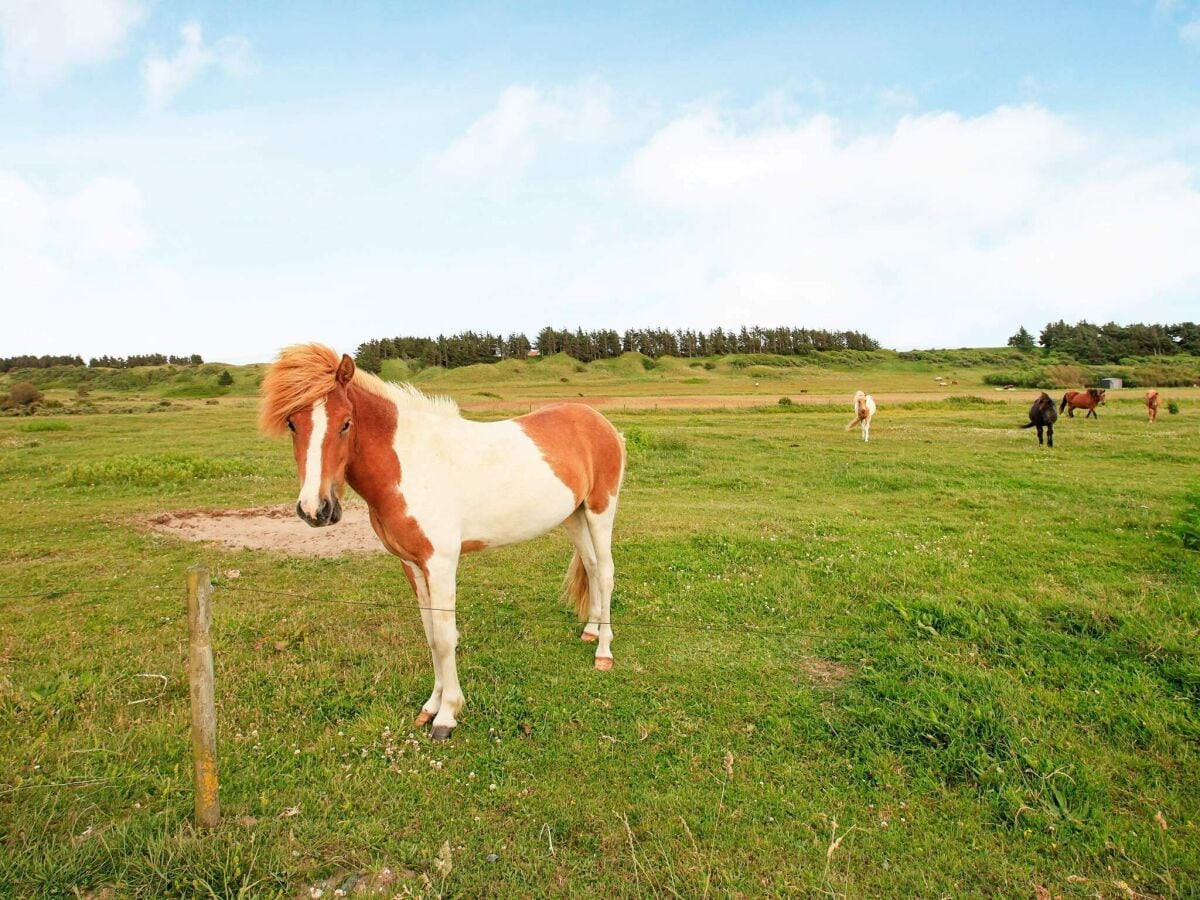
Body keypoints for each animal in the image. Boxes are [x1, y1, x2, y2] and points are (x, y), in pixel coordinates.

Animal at [258, 345, 624, 739]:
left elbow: (447, 636)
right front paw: (430, 706)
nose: (316, 509)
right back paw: (590, 630)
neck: (410, 465)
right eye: (293, 424)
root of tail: (600, 423)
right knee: (590, 566)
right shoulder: (412, 565)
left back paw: (604, 652)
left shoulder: (441, 563)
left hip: (600, 510)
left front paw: (447, 715)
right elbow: (431, 635)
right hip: (574, 516)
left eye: (345, 423)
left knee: (605, 573)